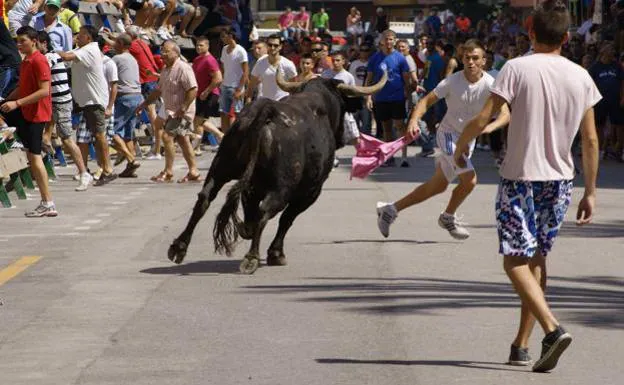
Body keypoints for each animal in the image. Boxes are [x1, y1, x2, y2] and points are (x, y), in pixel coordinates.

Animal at [168, 70, 388, 272]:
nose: (343, 137)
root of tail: (268, 111)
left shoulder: (253, 186)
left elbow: (253, 212)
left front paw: (246, 229)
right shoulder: (310, 191)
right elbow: (286, 219)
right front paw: (275, 253)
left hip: (221, 168)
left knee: (205, 198)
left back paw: (179, 247)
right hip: (282, 186)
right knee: (267, 211)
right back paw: (251, 257)